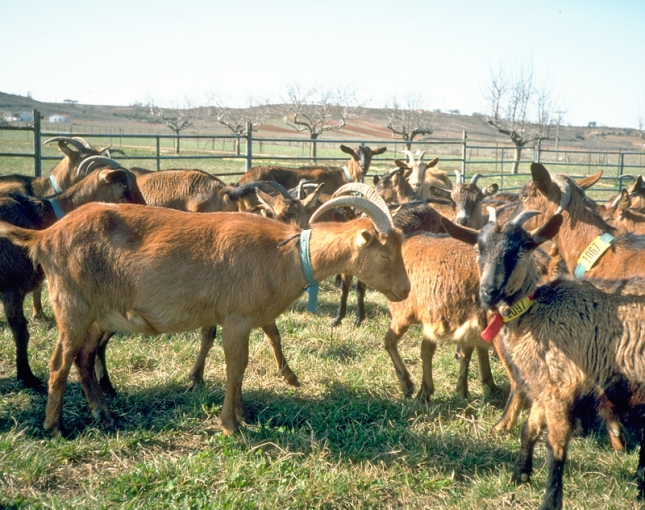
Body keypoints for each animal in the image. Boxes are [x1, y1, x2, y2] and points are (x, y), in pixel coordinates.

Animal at [0, 193, 408, 436]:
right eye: (385, 253)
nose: (405, 291)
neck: (284, 254)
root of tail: (45, 236)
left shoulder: (245, 319)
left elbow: (242, 367)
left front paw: (244, 413)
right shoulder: (237, 318)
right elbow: (234, 369)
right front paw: (231, 425)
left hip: (99, 316)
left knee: (83, 359)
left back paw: (106, 415)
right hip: (73, 307)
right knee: (59, 363)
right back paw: (55, 427)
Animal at [442, 208, 645, 510]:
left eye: (522, 248)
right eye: (479, 248)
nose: (489, 292)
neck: (533, 312)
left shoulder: (561, 387)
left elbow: (555, 448)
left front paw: (550, 500)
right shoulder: (541, 386)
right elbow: (529, 429)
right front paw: (520, 475)